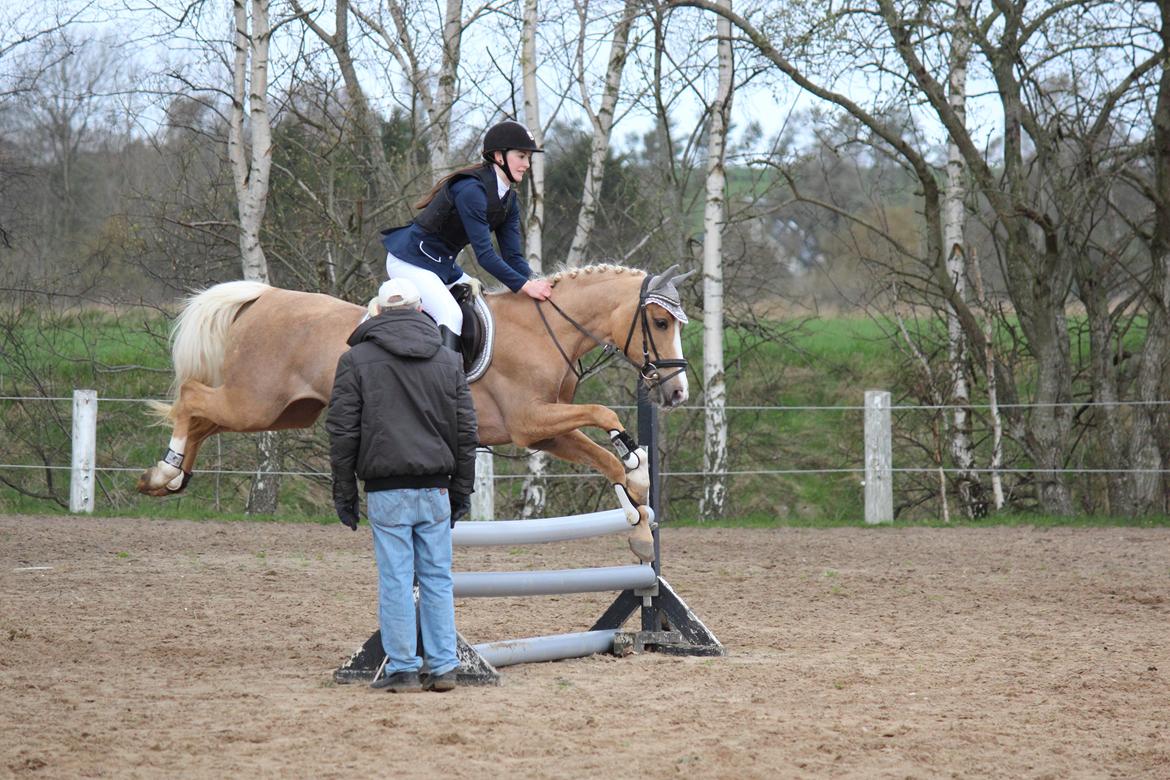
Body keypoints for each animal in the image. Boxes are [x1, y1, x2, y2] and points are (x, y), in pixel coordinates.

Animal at [136, 263, 693, 561]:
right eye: (660, 322)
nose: (677, 394)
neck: (545, 330)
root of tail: (264, 297)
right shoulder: (530, 420)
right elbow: (603, 415)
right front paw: (637, 470)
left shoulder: (544, 432)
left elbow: (605, 459)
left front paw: (639, 522)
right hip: (256, 402)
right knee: (192, 397)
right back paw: (163, 472)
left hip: (284, 411)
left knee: (203, 417)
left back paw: (169, 477)